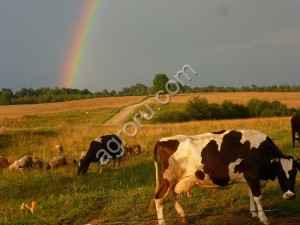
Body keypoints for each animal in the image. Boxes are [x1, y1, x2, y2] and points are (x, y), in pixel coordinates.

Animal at [154, 129, 298, 225]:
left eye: (295, 173)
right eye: (280, 173)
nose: (290, 196)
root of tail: (162, 140)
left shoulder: (250, 178)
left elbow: (251, 195)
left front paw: (254, 214)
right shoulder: (252, 175)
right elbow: (257, 197)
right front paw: (263, 218)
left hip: (174, 180)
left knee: (171, 195)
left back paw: (182, 215)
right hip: (169, 177)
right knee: (159, 197)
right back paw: (162, 222)